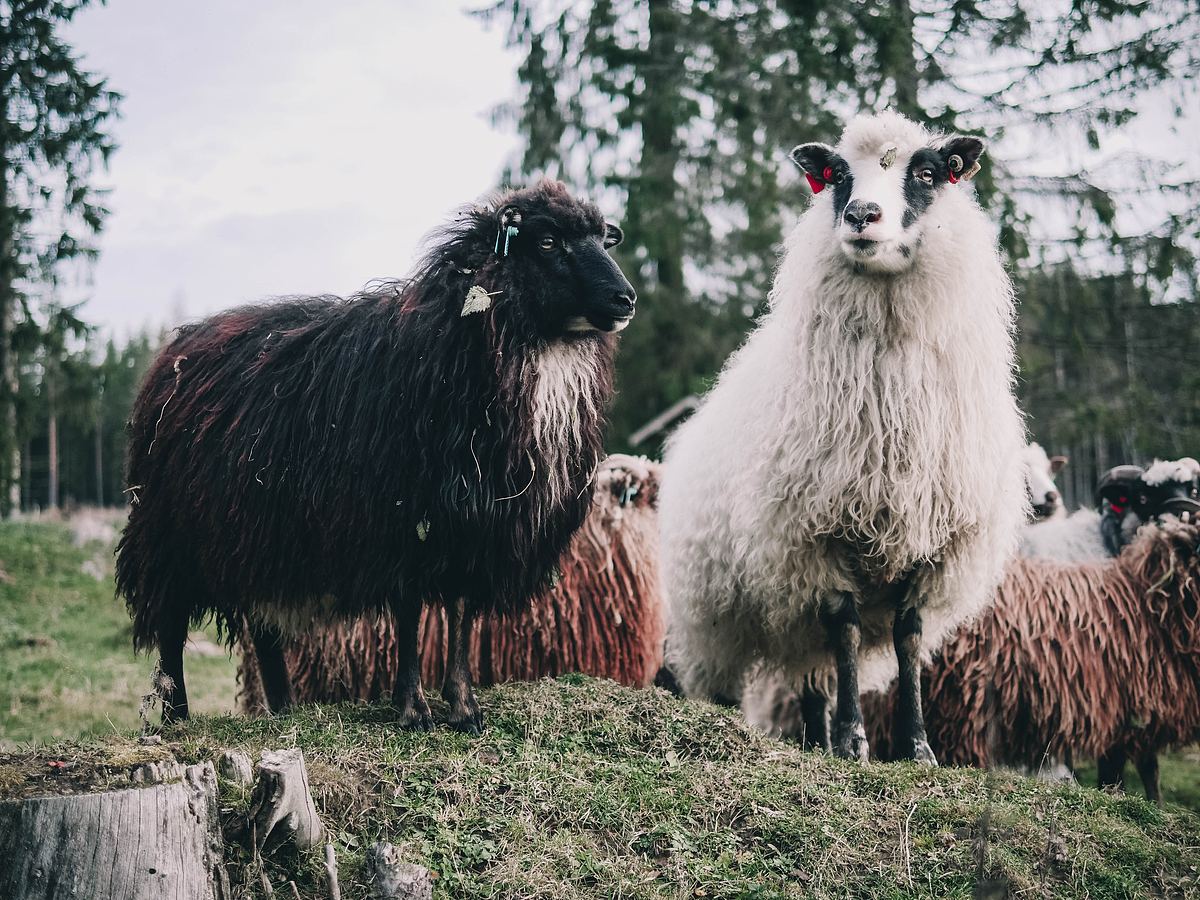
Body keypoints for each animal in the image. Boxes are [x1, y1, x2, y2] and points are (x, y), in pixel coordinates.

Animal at [114, 181, 638, 734]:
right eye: (547, 242)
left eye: (604, 240)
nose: (625, 299)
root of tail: (177, 348)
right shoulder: (401, 521)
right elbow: (410, 616)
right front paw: (413, 709)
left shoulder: (472, 527)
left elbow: (461, 616)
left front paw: (465, 707)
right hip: (170, 534)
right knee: (171, 629)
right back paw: (177, 718)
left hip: (257, 533)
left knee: (265, 628)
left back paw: (284, 708)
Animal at [662, 109, 1027, 763]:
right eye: (836, 178)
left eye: (928, 173)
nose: (862, 215)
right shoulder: (818, 538)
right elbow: (848, 628)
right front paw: (856, 739)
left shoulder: (929, 545)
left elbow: (908, 639)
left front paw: (915, 746)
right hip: (717, 610)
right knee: (757, 668)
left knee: (813, 675)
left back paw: (818, 740)